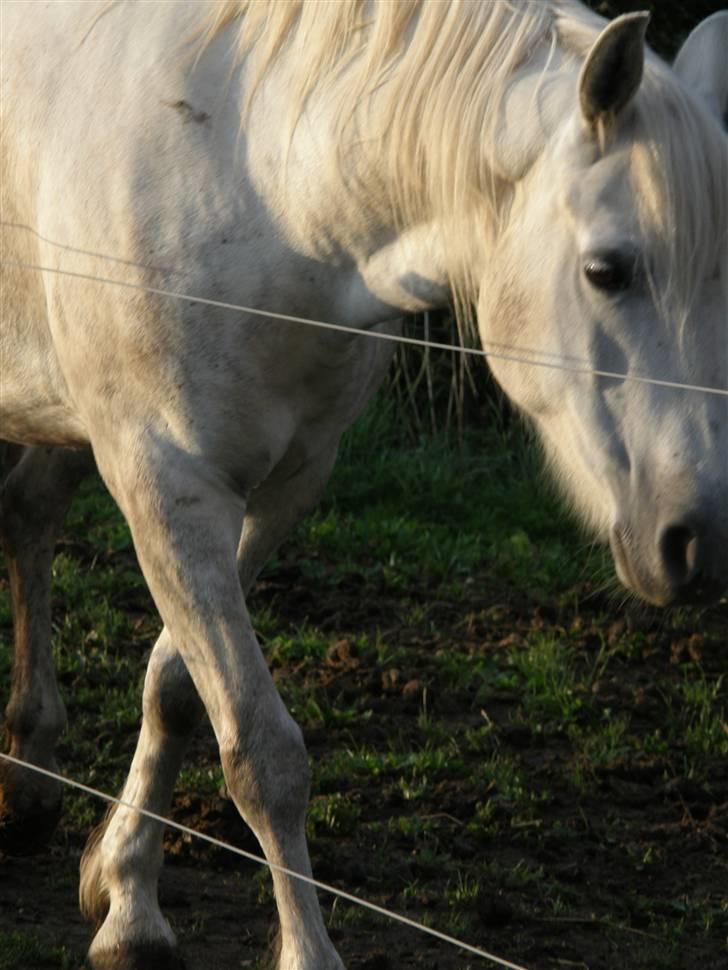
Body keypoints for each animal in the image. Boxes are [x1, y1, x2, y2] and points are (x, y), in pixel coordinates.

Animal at [0, 1, 724, 968]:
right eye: (607, 269)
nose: (699, 539)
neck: (256, 170)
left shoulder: (286, 482)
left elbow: (179, 690)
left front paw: (124, 895)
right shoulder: (164, 482)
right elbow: (261, 753)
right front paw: (266, 943)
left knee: (26, 508)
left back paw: (28, 775)